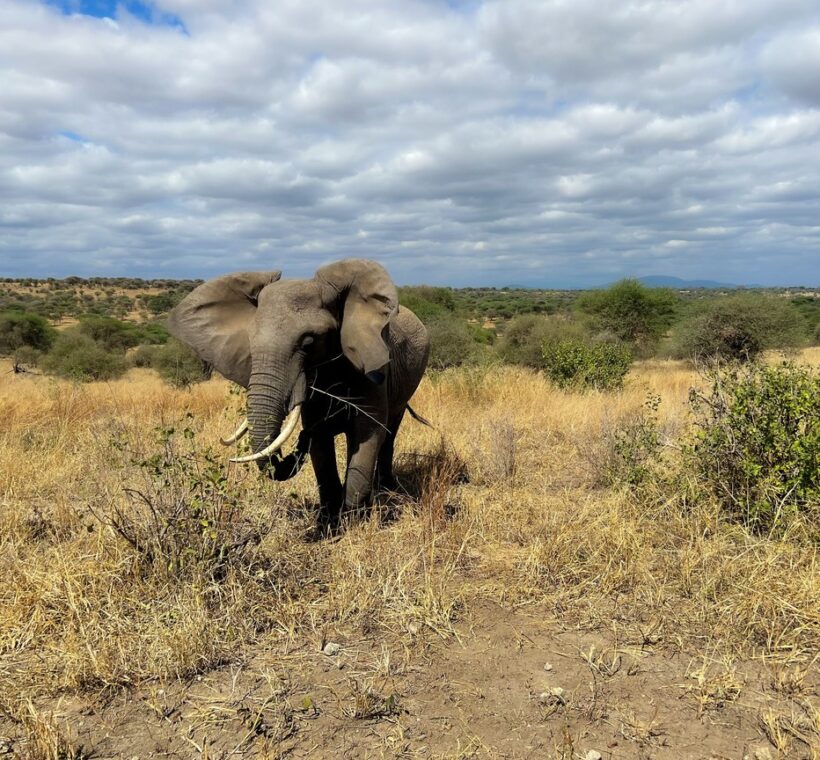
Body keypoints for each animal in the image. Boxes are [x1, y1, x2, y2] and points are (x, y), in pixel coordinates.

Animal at [167, 258, 430, 533]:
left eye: (308, 342)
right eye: (249, 341)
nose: (302, 437)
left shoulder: (373, 369)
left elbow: (368, 432)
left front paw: (354, 523)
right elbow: (321, 447)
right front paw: (328, 525)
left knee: (389, 432)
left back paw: (386, 490)